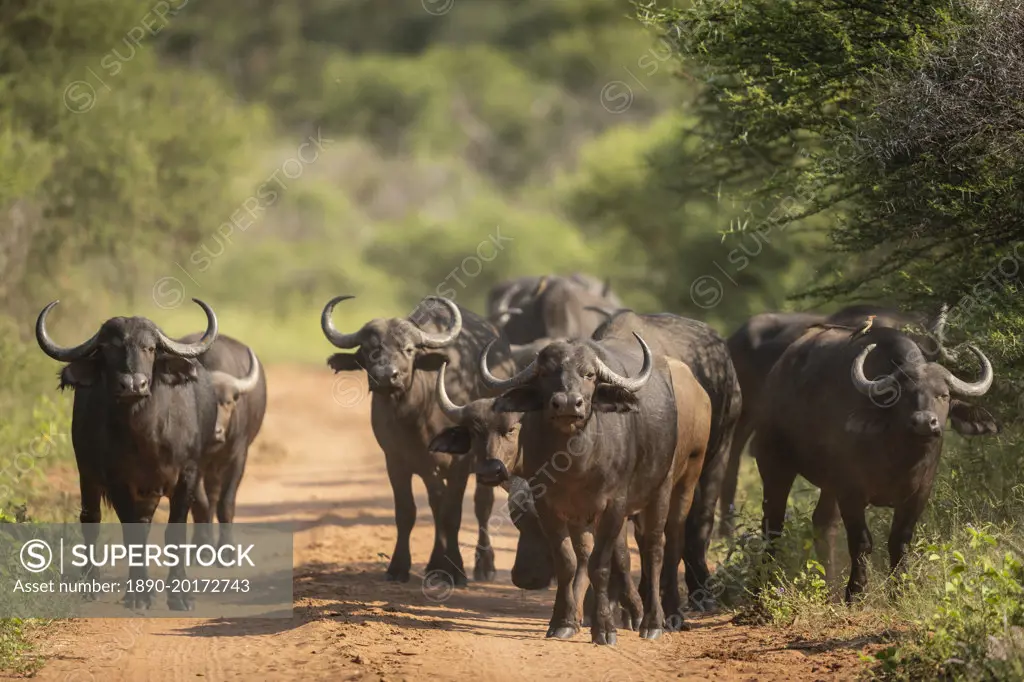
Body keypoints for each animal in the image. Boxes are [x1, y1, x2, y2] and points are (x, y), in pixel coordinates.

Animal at [35, 296, 218, 610]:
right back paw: (90, 582)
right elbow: (130, 536)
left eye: (150, 348)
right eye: (109, 348)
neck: (147, 438)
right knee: (91, 519)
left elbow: (174, 532)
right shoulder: (117, 480)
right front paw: (138, 595)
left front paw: (178, 594)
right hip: (87, 474)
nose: (133, 385)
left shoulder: (188, 476)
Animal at [183, 331, 268, 548]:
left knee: (214, 495)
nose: (216, 432)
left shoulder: (238, 458)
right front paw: (202, 545)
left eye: (228, 402)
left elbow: (226, 503)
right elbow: (200, 503)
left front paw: (227, 547)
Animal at [321, 292, 516, 585]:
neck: (414, 415)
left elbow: (452, 514)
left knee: (481, 506)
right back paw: (436, 562)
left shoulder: (460, 464)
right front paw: (399, 567)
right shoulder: (396, 461)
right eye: (369, 350)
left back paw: (484, 566)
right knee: (437, 503)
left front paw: (455, 570)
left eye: (409, 349)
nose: (386, 376)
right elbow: (407, 512)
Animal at [749, 321, 995, 598]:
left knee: (823, 523)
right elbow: (862, 542)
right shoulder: (851, 491)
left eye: (943, 395)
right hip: (774, 464)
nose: (924, 422)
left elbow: (900, 541)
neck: (899, 457)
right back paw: (762, 586)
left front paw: (899, 590)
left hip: (828, 484)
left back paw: (829, 586)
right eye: (903, 394)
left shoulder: (919, 493)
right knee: (773, 525)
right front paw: (855, 593)